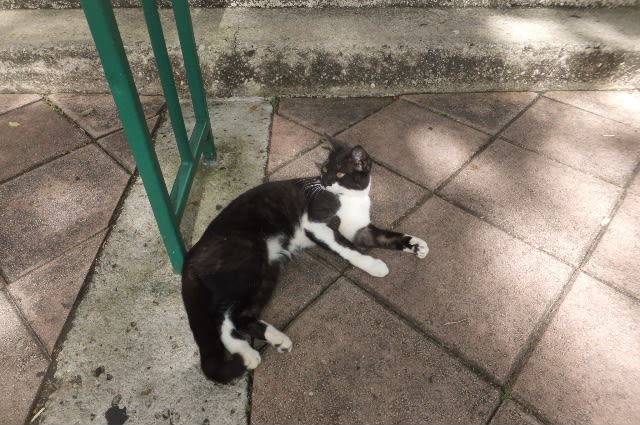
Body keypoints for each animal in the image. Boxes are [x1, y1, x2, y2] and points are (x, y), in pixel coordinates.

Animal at [181, 136, 428, 383]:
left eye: (340, 174)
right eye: (325, 169)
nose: (325, 182)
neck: (350, 198)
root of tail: (191, 255)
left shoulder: (359, 231)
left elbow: (386, 236)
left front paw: (416, 244)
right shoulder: (316, 225)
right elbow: (347, 248)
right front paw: (373, 265)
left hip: (267, 272)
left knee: (239, 315)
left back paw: (274, 340)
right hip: (247, 260)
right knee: (220, 315)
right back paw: (247, 354)